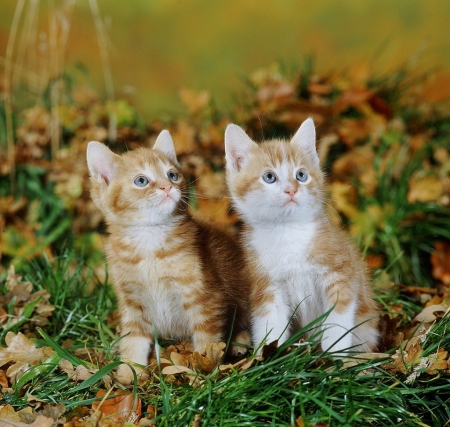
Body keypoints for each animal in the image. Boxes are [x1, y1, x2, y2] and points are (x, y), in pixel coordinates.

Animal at [86, 130, 251, 384]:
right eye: (141, 181)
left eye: (172, 175)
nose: (167, 187)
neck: (150, 243)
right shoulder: (133, 302)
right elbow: (133, 339)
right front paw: (129, 374)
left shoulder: (205, 297)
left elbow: (207, 339)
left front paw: (204, 372)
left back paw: (240, 341)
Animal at [225, 118, 380, 354]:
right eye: (269, 177)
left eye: (301, 175)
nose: (291, 190)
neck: (286, 232)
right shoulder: (266, 283)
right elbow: (269, 322)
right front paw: (266, 357)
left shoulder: (340, 271)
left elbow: (338, 316)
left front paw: (334, 354)